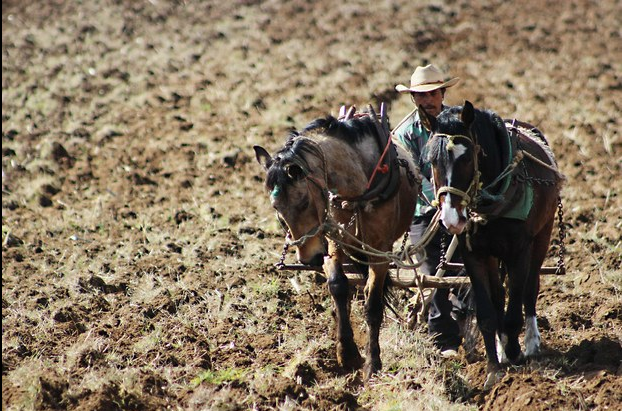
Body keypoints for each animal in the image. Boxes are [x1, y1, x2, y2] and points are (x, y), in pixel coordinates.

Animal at [254, 106, 420, 380]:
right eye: (276, 208)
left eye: (303, 202)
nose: (308, 258)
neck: (357, 190)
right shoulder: (334, 242)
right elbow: (338, 286)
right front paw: (347, 353)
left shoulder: (381, 251)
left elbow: (373, 304)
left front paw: (372, 364)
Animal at [424, 100, 564, 390]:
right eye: (432, 160)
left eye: (467, 158)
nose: (451, 219)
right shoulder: (474, 254)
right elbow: (488, 314)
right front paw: (493, 370)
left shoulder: (519, 250)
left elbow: (516, 307)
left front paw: (515, 351)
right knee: (499, 297)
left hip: (543, 235)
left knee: (530, 289)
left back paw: (530, 344)